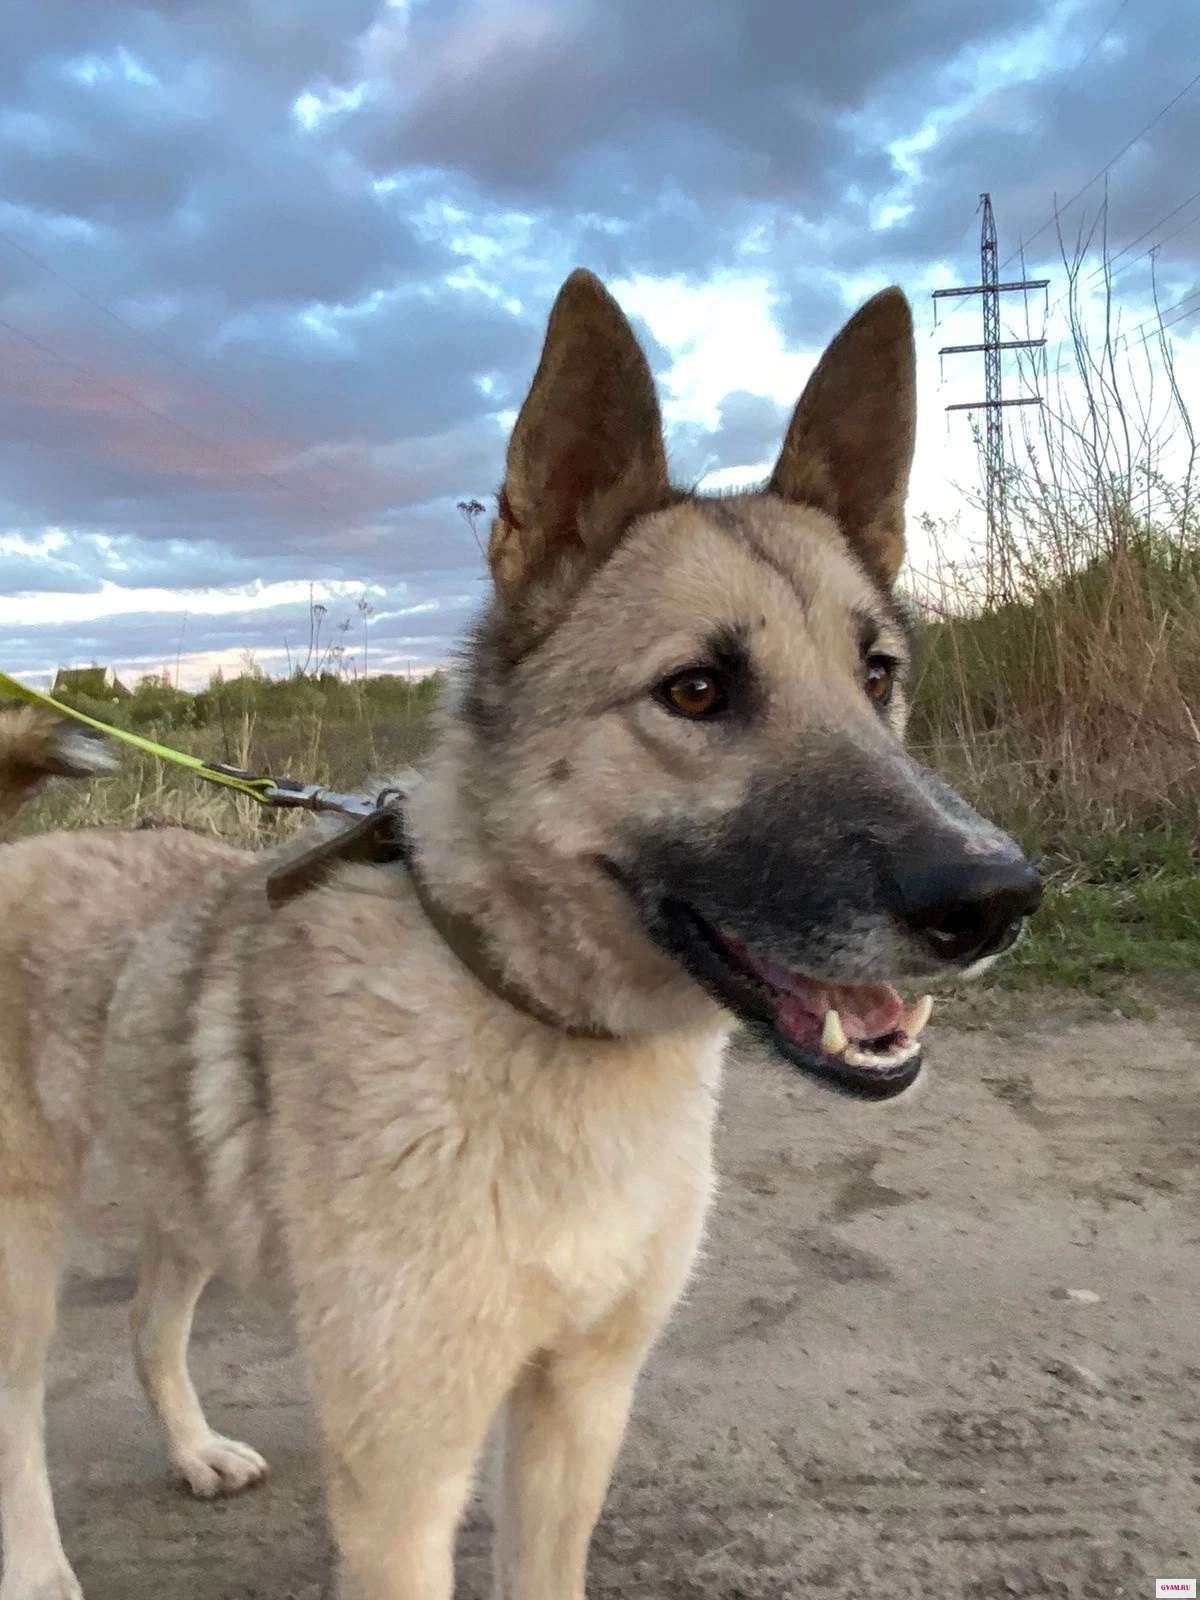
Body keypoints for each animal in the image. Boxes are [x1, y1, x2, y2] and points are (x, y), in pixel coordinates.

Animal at [0, 271, 1041, 1600]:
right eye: (696, 691)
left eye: (878, 676)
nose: (998, 897)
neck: (522, 1003)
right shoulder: (402, 1490)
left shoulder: (577, 1410)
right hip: (19, 1257)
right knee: (16, 1415)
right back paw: (38, 1567)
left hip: (181, 1192)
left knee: (147, 1319)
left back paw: (190, 1448)